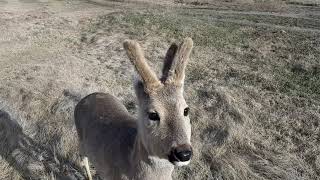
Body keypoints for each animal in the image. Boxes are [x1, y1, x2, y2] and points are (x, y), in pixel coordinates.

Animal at [74, 37, 194, 179]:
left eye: (186, 110)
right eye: (153, 114)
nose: (184, 153)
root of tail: (87, 97)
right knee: (83, 158)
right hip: (81, 139)